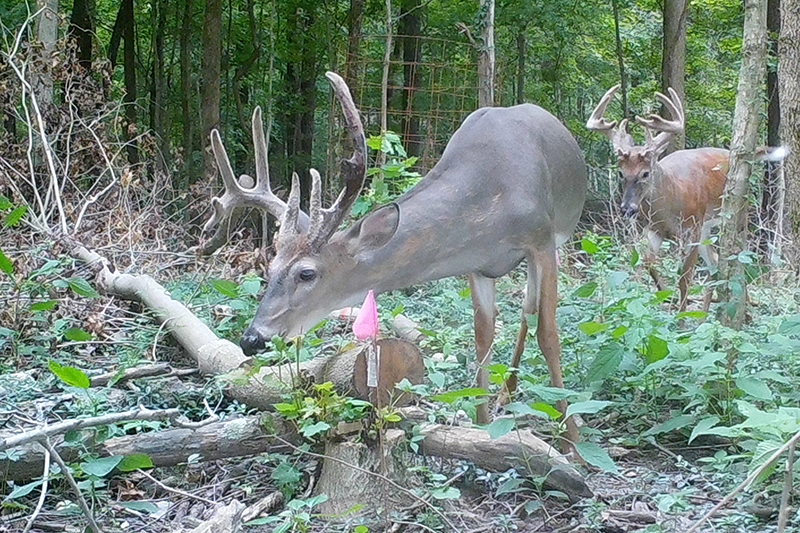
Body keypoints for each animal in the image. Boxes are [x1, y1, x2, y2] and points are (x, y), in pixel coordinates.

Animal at [202, 71, 587, 445]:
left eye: (306, 273)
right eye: (270, 267)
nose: (251, 339)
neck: (492, 197)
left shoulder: (541, 240)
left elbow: (549, 336)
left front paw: (572, 443)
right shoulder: (479, 266)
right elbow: (483, 334)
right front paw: (481, 425)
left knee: (531, 311)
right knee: (526, 307)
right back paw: (506, 392)